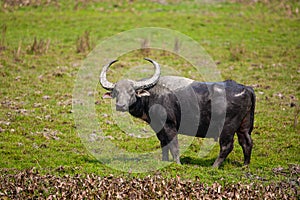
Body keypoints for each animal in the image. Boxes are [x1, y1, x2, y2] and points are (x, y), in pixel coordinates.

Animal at [99, 57, 254, 167]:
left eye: (131, 91)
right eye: (116, 92)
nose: (120, 105)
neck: (152, 95)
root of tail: (246, 89)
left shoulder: (169, 126)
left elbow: (174, 146)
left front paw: (177, 164)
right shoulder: (159, 127)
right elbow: (164, 144)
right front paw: (164, 161)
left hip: (227, 128)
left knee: (227, 146)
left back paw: (214, 166)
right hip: (243, 126)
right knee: (246, 142)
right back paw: (245, 165)